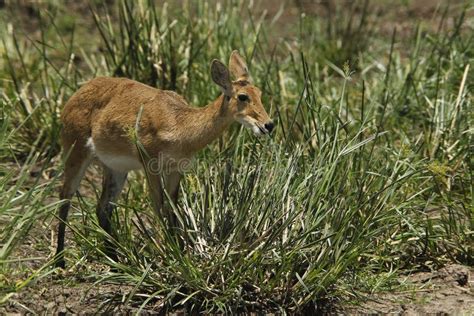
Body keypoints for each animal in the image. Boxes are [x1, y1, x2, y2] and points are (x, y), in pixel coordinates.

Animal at [54, 51, 274, 266]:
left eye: (259, 93)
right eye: (243, 96)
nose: (268, 125)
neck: (180, 126)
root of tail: (75, 95)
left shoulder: (176, 168)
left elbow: (172, 209)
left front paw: (181, 253)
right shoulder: (150, 166)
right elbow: (159, 207)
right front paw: (170, 255)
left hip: (116, 169)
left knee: (102, 208)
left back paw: (116, 260)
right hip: (76, 154)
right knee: (65, 197)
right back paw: (59, 262)